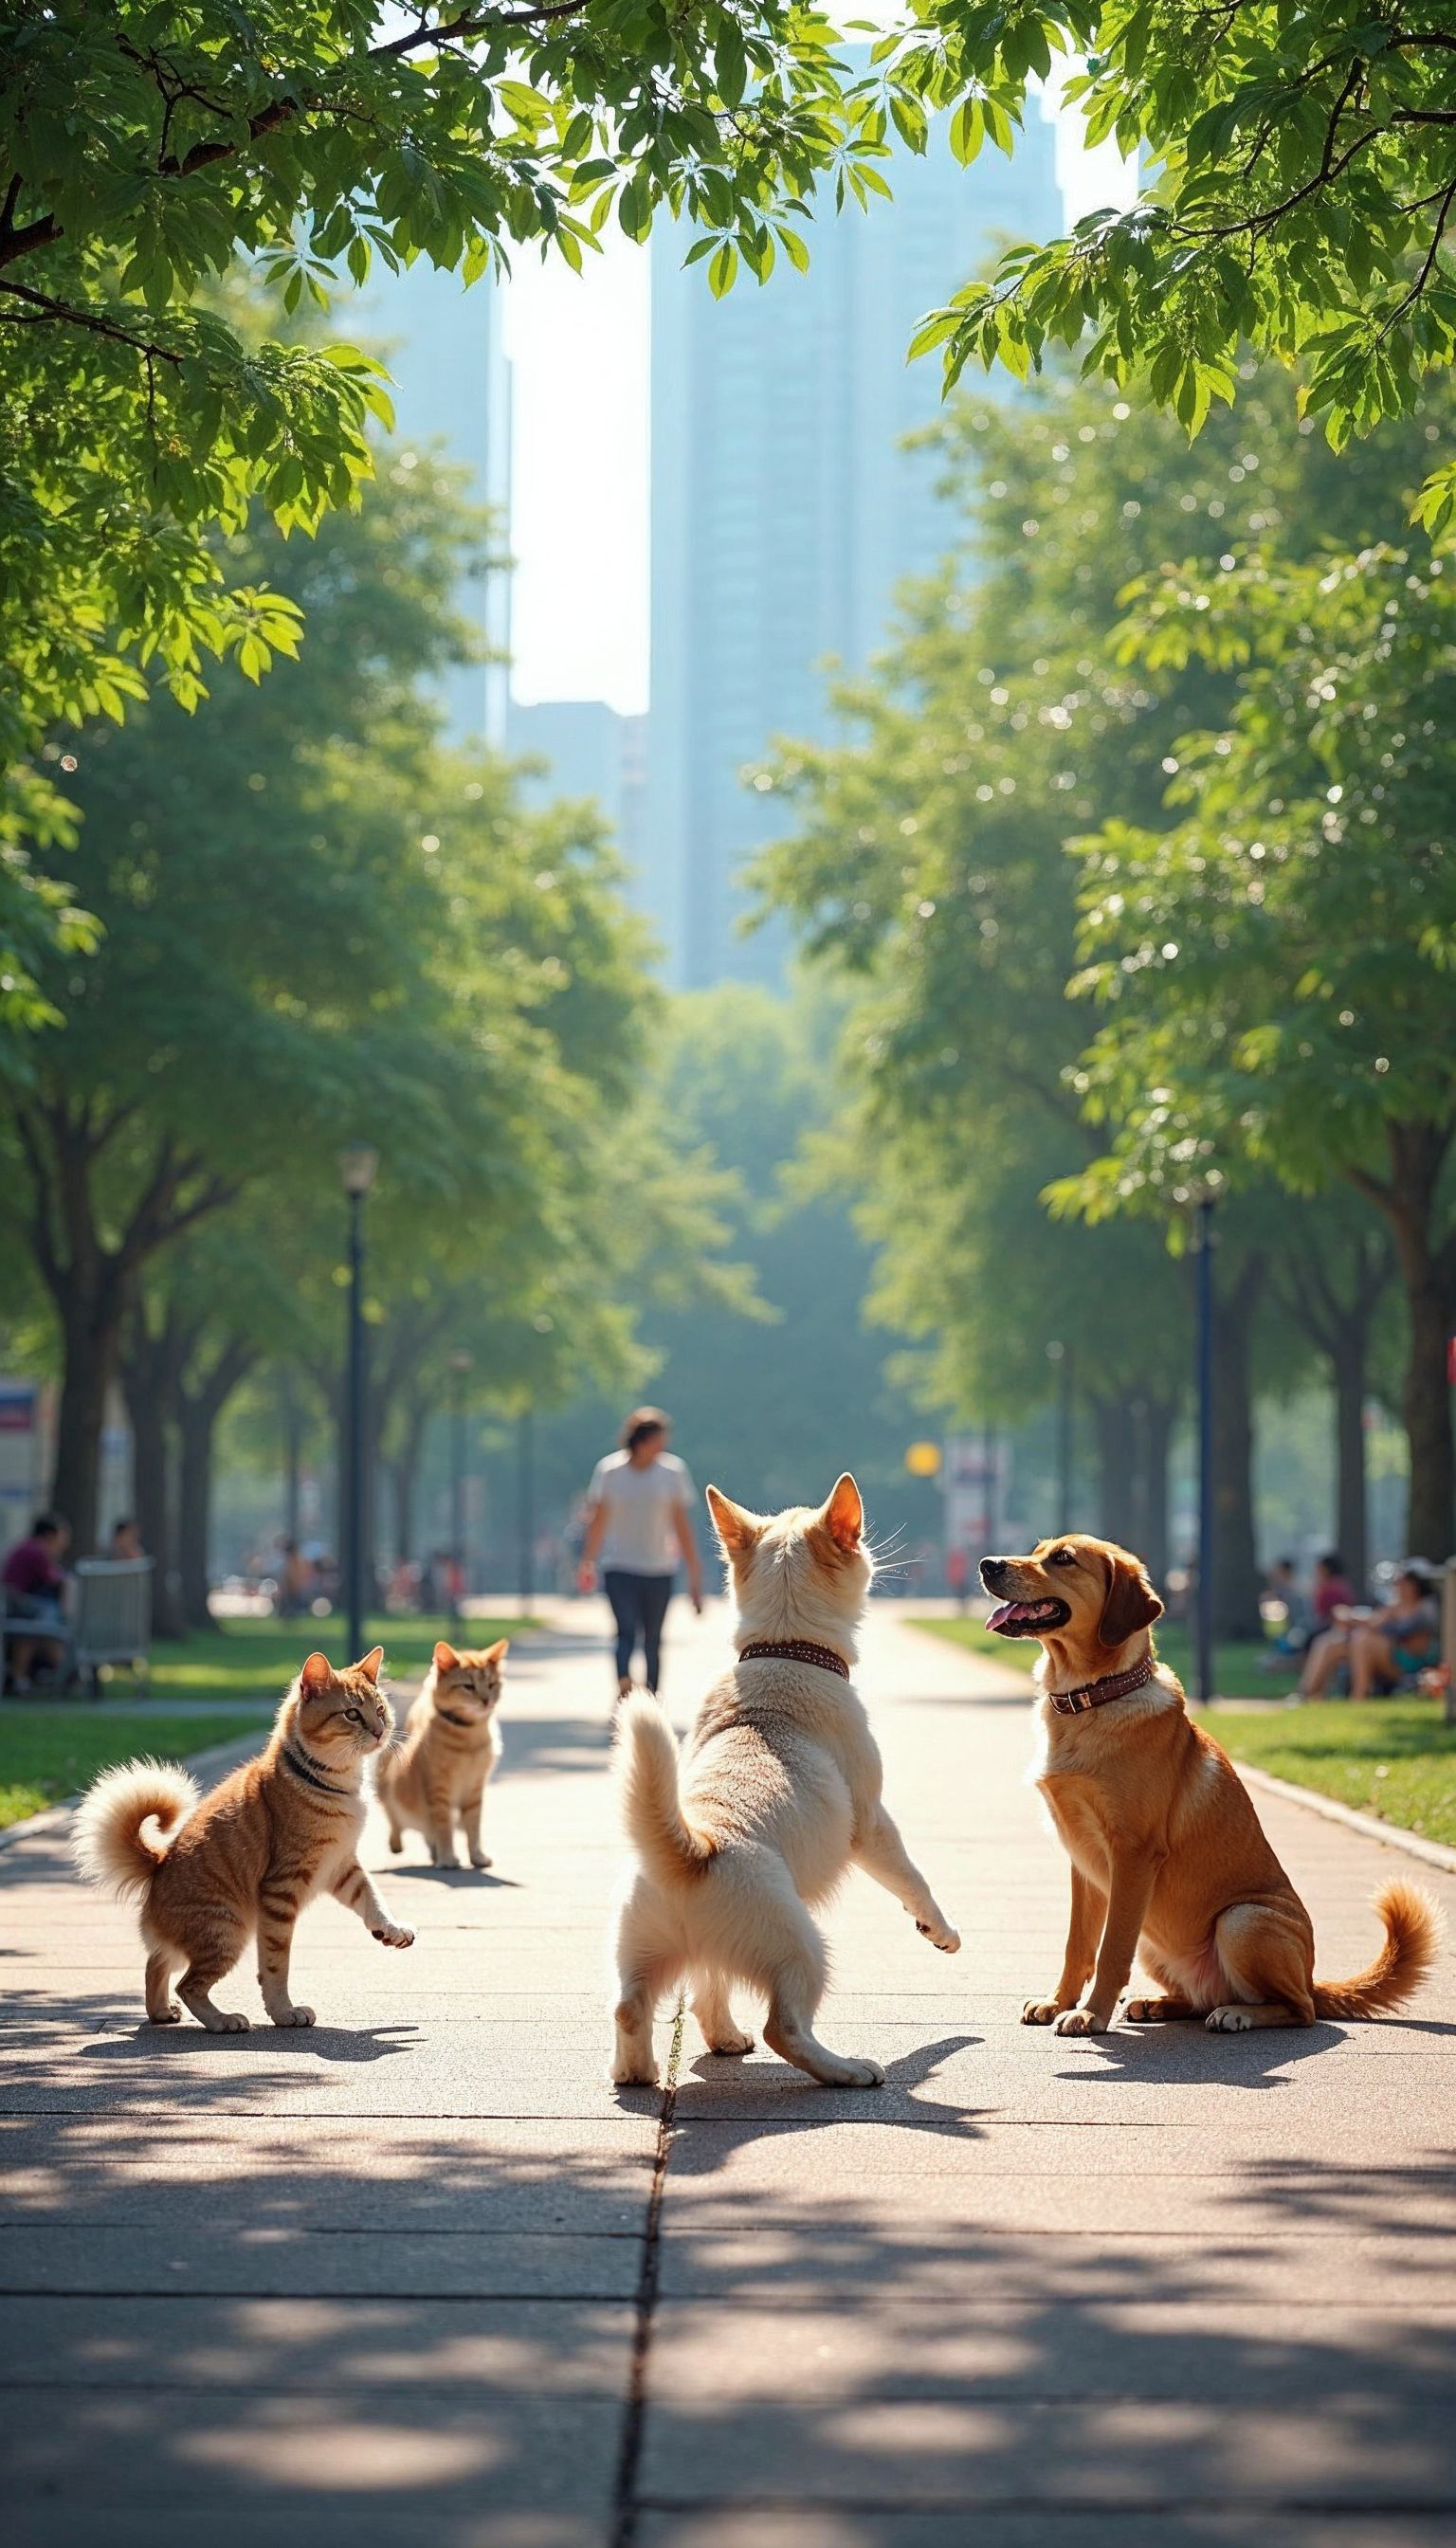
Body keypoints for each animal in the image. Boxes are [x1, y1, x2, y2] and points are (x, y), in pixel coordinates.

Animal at [73, 1641, 415, 2038]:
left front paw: (390, 1928)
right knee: (188, 1984)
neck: (336, 1782)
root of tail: (157, 1864)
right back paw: (222, 2020)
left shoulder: (342, 1866)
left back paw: (161, 2011)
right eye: (351, 1714)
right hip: (226, 1931)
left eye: (380, 1709)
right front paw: (284, 2012)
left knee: (155, 1964)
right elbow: (275, 1966)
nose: (380, 1731)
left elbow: (373, 1899)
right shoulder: (284, 1887)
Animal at [374, 1630, 507, 1875]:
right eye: (468, 1686)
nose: (486, 1701)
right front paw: (447, 1858)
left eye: (492, 1684)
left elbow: (473, 1827)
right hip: (386, 1783)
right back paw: (398, 1844)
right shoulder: (439, 1789)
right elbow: (444, 1827)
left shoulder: (475, 1788)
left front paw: (477, 1856)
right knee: (394, 1819)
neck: (468, 1736)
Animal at [609, 1478, 963, 2089]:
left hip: (647, 1948)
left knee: (649, 2003)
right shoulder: (873, 1824)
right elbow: (912, 1878)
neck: (785, 1647)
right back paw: (847, 2069)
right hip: (802, 1948)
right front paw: (938, 1929)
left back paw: (656, 2064)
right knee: (785, 2028)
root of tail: (694, 1849)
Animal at [978, 1519, 1447, 2038]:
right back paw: (1159, 2003)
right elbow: (1077, 1945)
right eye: (1037, 1550)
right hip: (1159, 1941)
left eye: (1063, 1559)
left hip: (1242, 1919)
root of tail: (1312, 1975)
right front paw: (1058, 2001)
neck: (1092, 1699)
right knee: (1200, 1998)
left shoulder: (1133, 1854)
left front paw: (1090, 2014)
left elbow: (1111, 1950)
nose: (987, 1564)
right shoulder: (1083, 1863)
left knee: (1299, 2009)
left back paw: (1239, 2013)